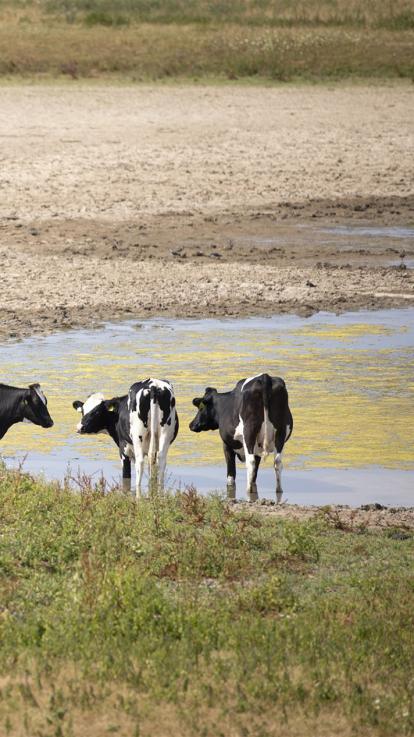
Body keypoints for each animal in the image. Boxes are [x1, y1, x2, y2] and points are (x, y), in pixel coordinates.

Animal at [189, 373, 292, 501]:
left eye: (201, 408)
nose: (191, 424)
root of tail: (265, 377)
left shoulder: (227, 444)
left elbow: (231, 473)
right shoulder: (257, 448)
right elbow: (254, 473)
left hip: (249, 433)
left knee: (251, 461)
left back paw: (248, 491)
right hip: (281, 432)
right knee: (277, 462)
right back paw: (279, 489)